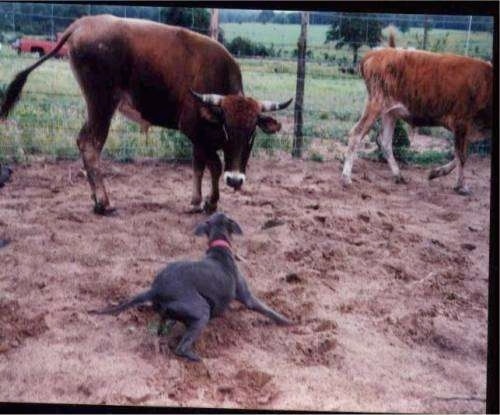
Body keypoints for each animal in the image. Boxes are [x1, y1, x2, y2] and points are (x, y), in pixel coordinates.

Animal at [0, 14, 292, 214]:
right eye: (226, 128)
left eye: (252, 133)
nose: (236, 180)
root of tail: (84, 23)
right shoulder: (194, 129)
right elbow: (215, 165)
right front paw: (210, 202)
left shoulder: (199, 139)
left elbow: (199, 166)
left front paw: (196, 201)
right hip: (101, 104)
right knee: (90, 145)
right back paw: (104, 202)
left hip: (97, 107)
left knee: (83, 142)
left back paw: (96, 199)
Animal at [92, 213, 292, 362]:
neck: (219, 247)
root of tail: (155, 289)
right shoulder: (248, 298)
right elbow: (269, 311)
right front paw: (289, 322)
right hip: (202, 311)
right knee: (181, 348)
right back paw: (197, 358)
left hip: (175, 313)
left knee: (162, 326)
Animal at [340, 33, 492, 195]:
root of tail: (375, 53)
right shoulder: (461, 123)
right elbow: (461, 156)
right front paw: (461, 186)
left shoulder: (467, 129)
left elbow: (460, 155)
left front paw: (435, 173)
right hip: (376, 105)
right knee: (356, 134)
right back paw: (346, 178)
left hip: (390, 113)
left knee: (385, 142)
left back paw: (399, 176)